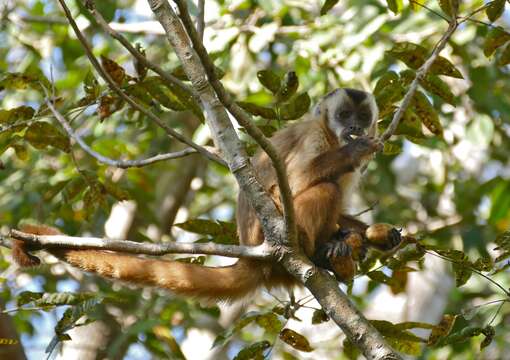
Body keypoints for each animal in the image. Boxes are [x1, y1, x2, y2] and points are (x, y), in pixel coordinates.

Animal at [11, 88, 400, 302]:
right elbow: (295, 181)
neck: (332, 136)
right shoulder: (314, 135)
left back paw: (348, 245)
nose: (355, 128)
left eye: (362, 115)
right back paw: (317, 250)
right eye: (344, 114)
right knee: (323, 188)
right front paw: (355, 150)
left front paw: (379, 235)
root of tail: (256, 254)